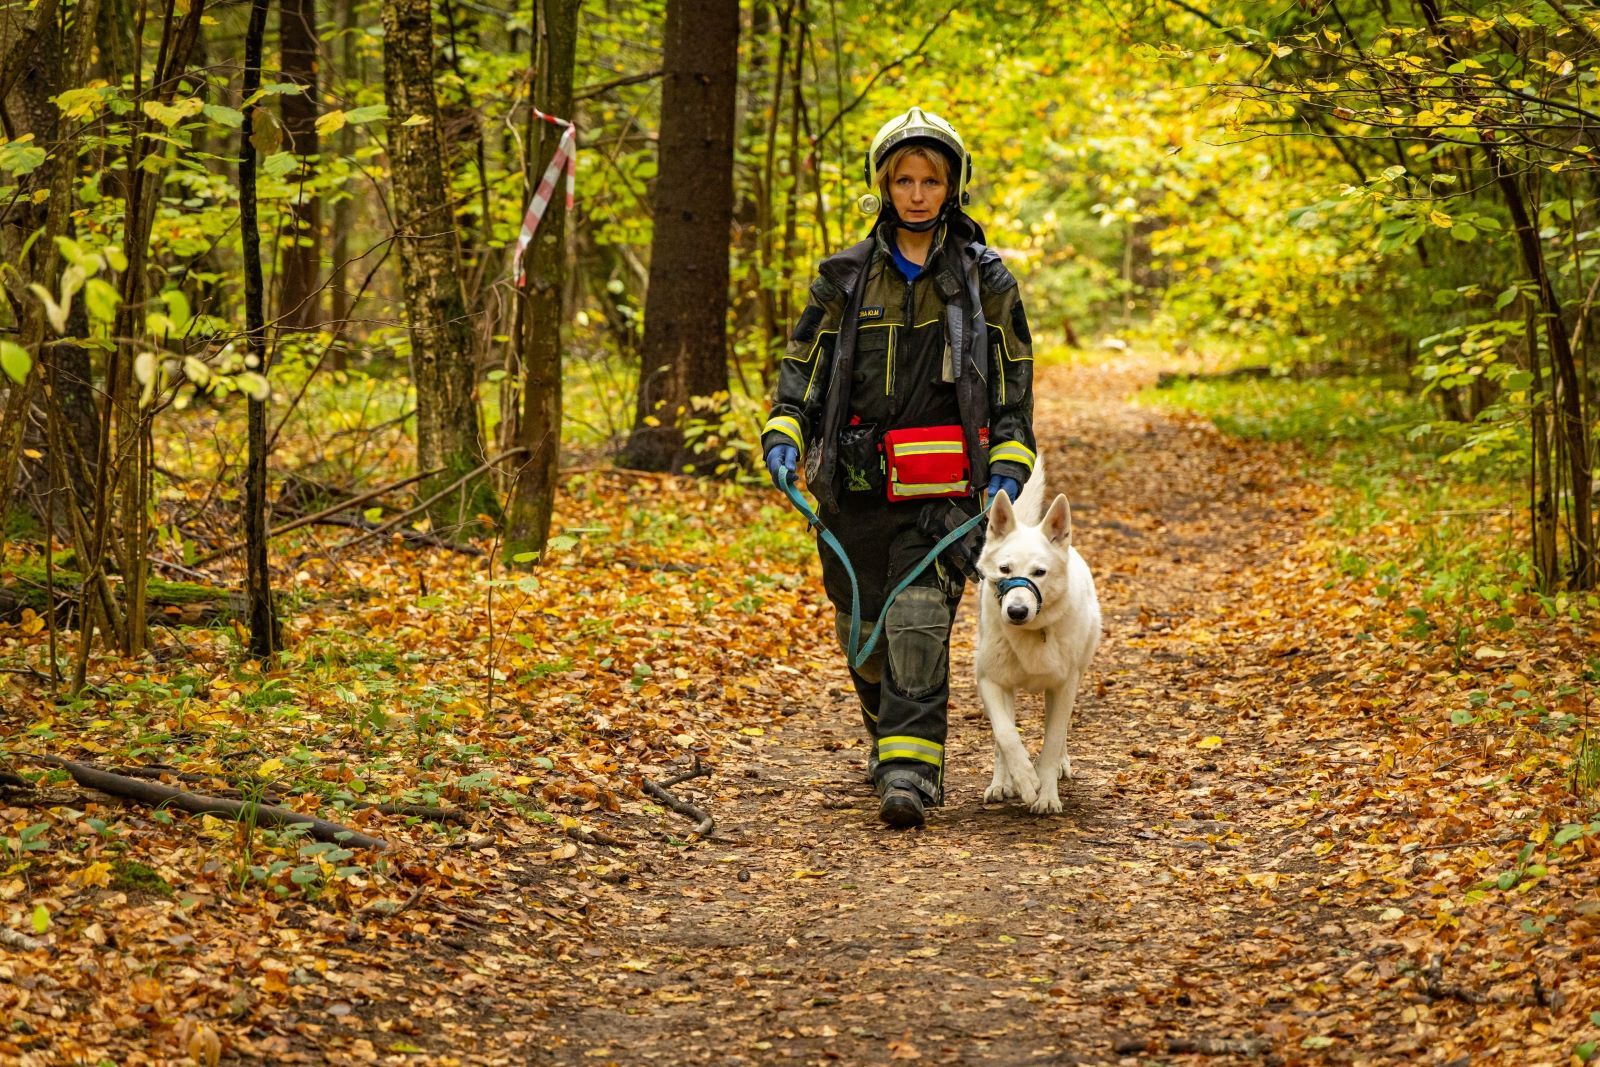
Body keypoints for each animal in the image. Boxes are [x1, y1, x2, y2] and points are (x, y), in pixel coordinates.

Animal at [972, 454, 1100, 812]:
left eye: (1039, 572)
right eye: (1005, 569)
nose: (1016, 611)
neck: (1031, 632)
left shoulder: (1064, 686)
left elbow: (1053, 740)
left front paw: (1046, 795)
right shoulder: (990, 681)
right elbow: (1005, 734)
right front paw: (1024, 779)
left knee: (1060, 733)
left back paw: (1058, 768)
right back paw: (1002, 783)